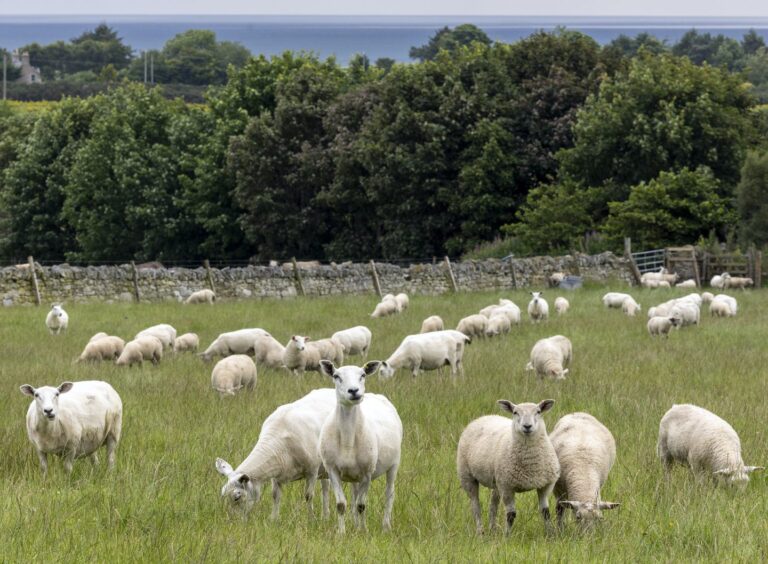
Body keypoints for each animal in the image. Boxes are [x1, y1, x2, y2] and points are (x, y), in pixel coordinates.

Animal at [216, 388, 336, 520]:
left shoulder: (312, 470)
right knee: (326, 487)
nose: (232, 520)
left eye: (237, 497)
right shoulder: (276, 474)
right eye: (222, 494)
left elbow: (308, 495)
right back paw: (326, 516)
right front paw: (274, 519)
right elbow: (275, 495)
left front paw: (311, 519)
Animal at [318, 362, 404, 532]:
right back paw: (355, 523)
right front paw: (342, 532)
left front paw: (363, 531)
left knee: (389, 493)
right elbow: (341, 504)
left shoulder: (367, 473)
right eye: (336, 376)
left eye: (363, 375)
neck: (347, 439)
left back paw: (385, 526)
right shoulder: (333, 470)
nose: (353, 391)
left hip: (394, 464)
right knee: (354, 494)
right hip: (353, 475)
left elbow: (361, 505)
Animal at [456, 398, 560, 536]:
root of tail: (484, 417)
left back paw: (493, 529)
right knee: (475, 506)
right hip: (467, 476)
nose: (527, 426)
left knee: (493, 505)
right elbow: (511, 514)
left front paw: (550, 534)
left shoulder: (545, 485)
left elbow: (545, 512)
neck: (530, 464)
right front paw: (507, 536)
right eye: (515, 412)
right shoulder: (507, 487)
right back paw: (481, 532)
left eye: (538, 411)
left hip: (496, 481)